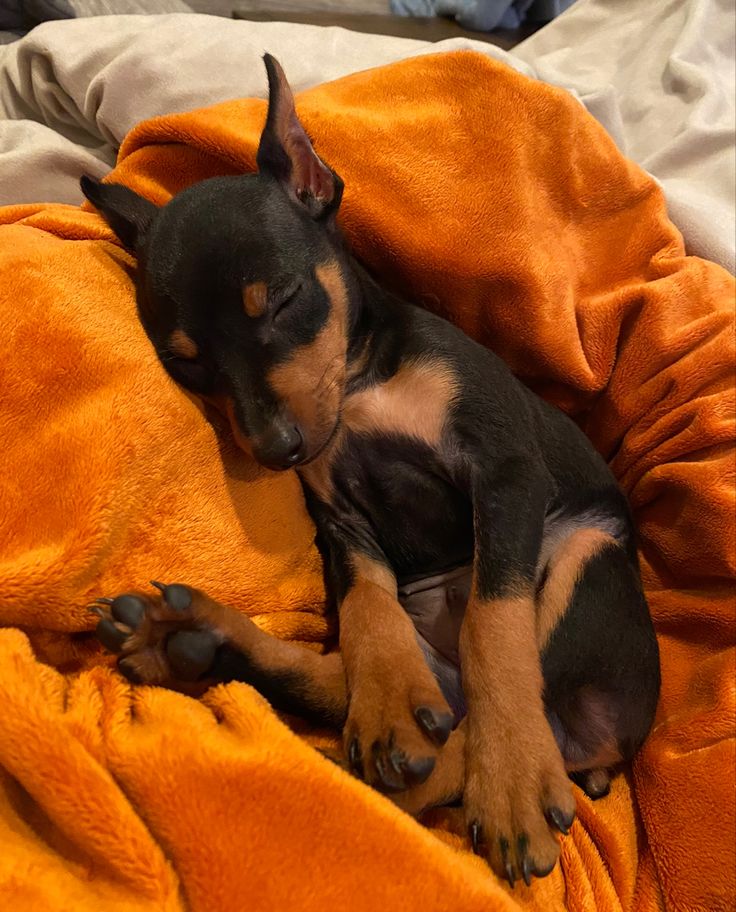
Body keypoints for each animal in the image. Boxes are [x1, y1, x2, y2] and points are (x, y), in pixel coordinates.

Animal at [82, 53, 660, 888]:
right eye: (183, 361)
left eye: (284, 299)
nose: (276, 448)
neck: (359, 389)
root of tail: (623, 747)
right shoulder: (343, 520)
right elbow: (364, 608)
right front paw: (388, 702)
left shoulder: (508, 473)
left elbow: (493, 625)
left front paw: (508, 778)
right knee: (380, 693)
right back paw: (198, 637)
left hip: (586, 553)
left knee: (498, 708)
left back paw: (489, 781)